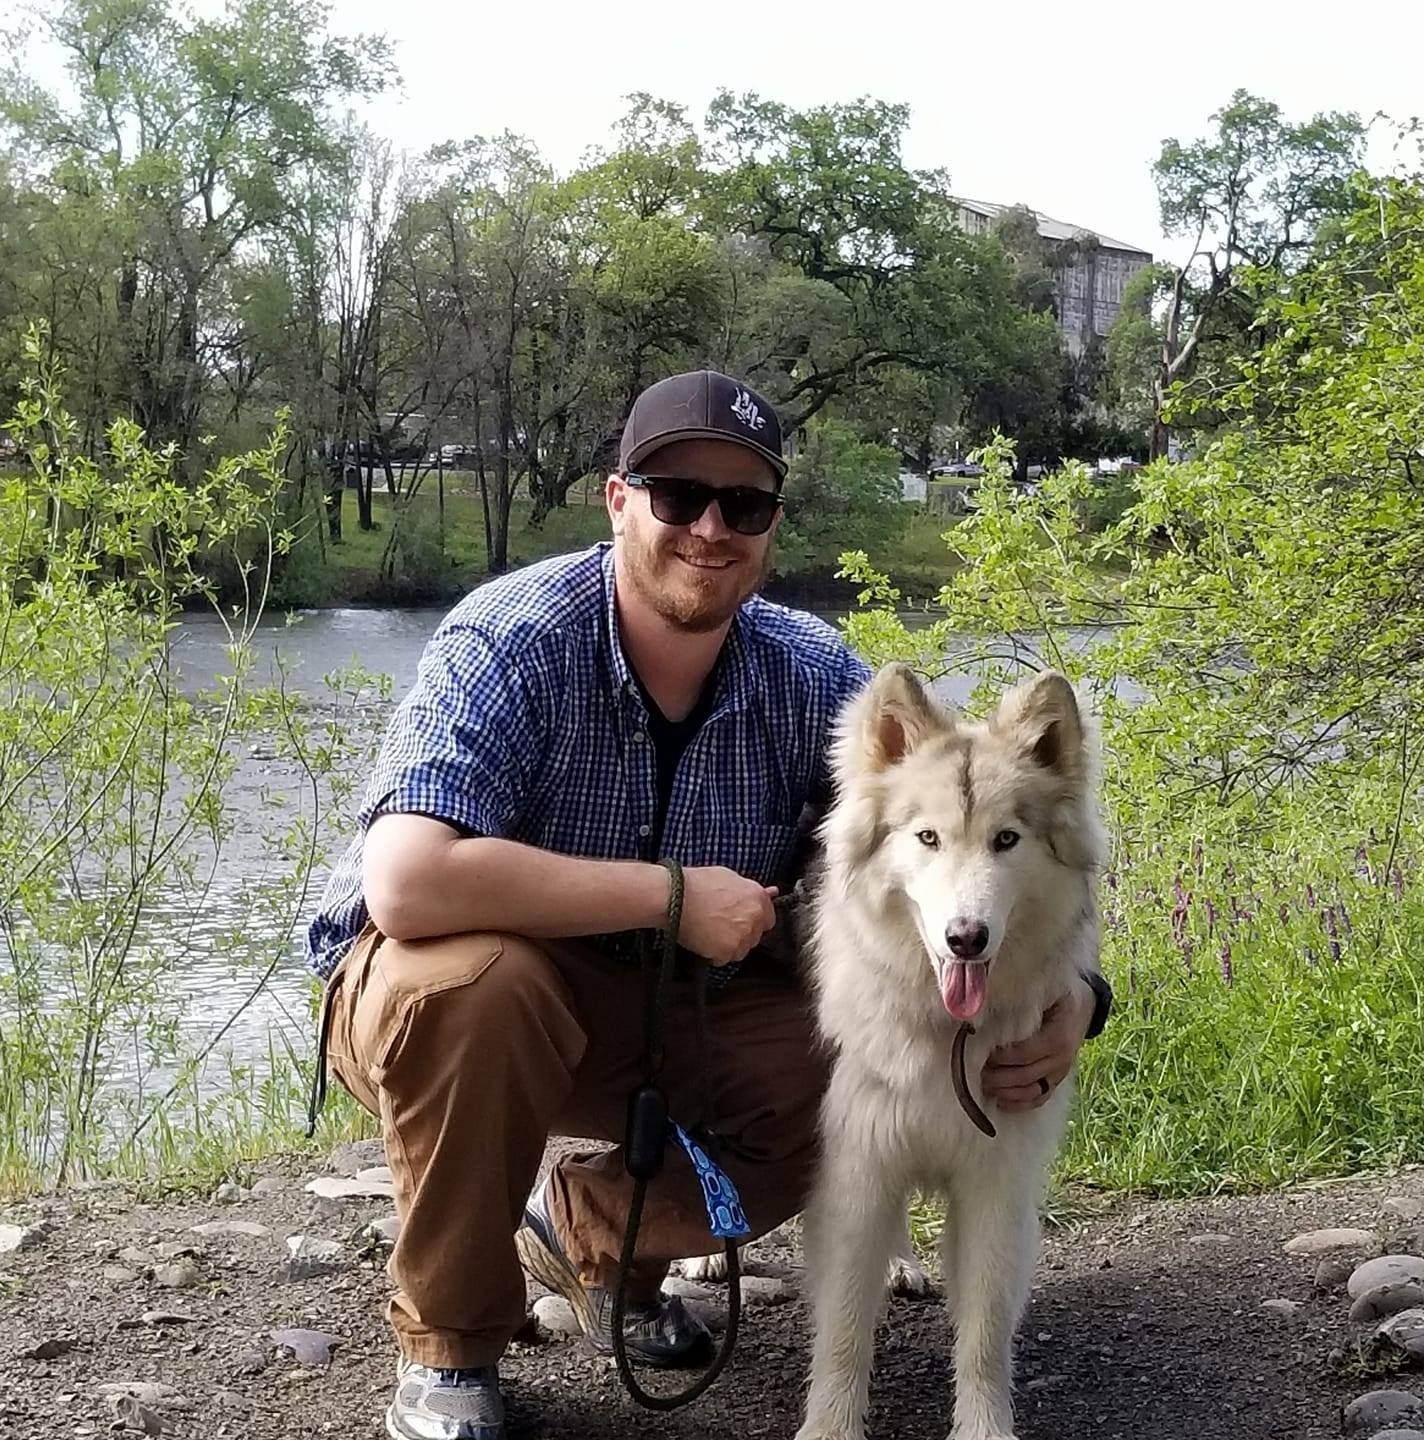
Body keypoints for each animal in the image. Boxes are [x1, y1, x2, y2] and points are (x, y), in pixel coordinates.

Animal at [789, 662, 1100, 1440]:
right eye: (927, 837)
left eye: (1006, 840)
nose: (967, 939)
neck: (947, 1034)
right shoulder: (858, 1166)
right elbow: (844, 1327)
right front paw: (831, 1426)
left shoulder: (996, 1179)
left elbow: (984, 1330)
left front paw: (983, 1426)